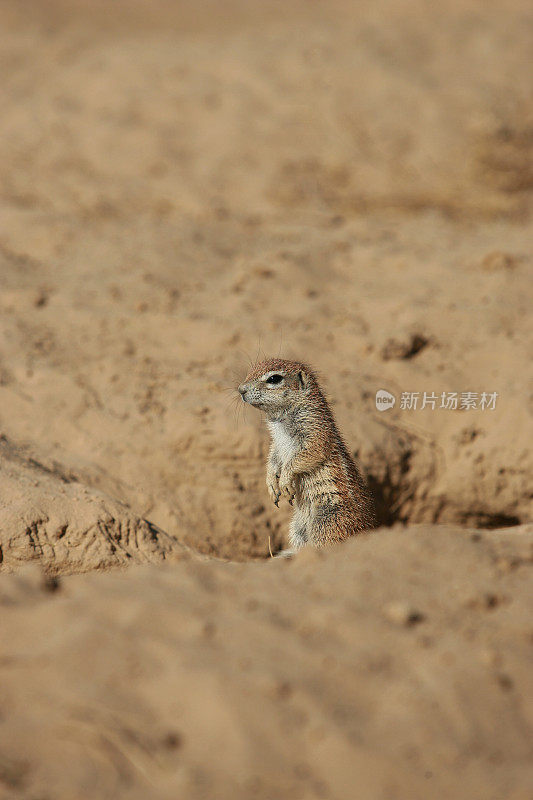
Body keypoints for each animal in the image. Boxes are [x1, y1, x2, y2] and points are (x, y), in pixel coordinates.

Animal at [239, 358, 376, 552]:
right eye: (250, 371)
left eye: (274, 379)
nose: (241, 389)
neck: (280, 421)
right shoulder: (276, 444)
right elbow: (273, 459)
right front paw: (271, 483)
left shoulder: (315, 433)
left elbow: (306, 456)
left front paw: (285, 481)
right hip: (298, 530)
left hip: (327, 523)